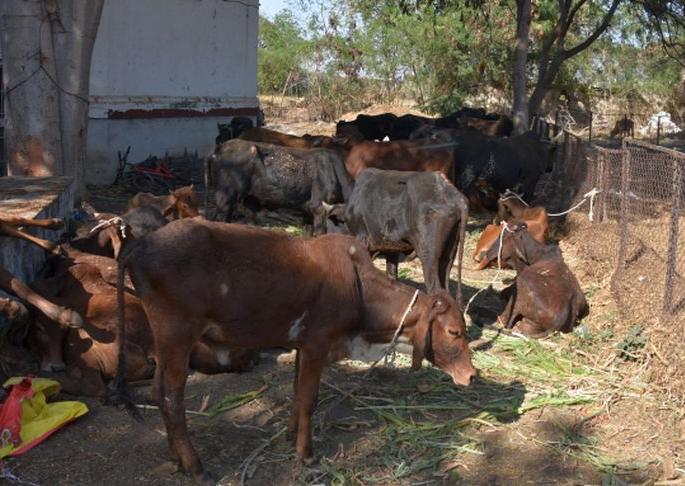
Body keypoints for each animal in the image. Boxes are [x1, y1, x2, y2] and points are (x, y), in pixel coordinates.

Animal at [114, 220, 477, 483]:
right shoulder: (318, 344)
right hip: (177, 335)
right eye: (454, 332)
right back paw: (195, 465)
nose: (472, 375)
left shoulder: (303, 347)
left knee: (159, 391)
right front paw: (306, 454)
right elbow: (309, 400)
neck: (359, 288)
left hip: (166, 342)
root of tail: (139, 245)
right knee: (171, 395)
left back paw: (176, 457)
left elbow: (296, 395)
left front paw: (291, 435)